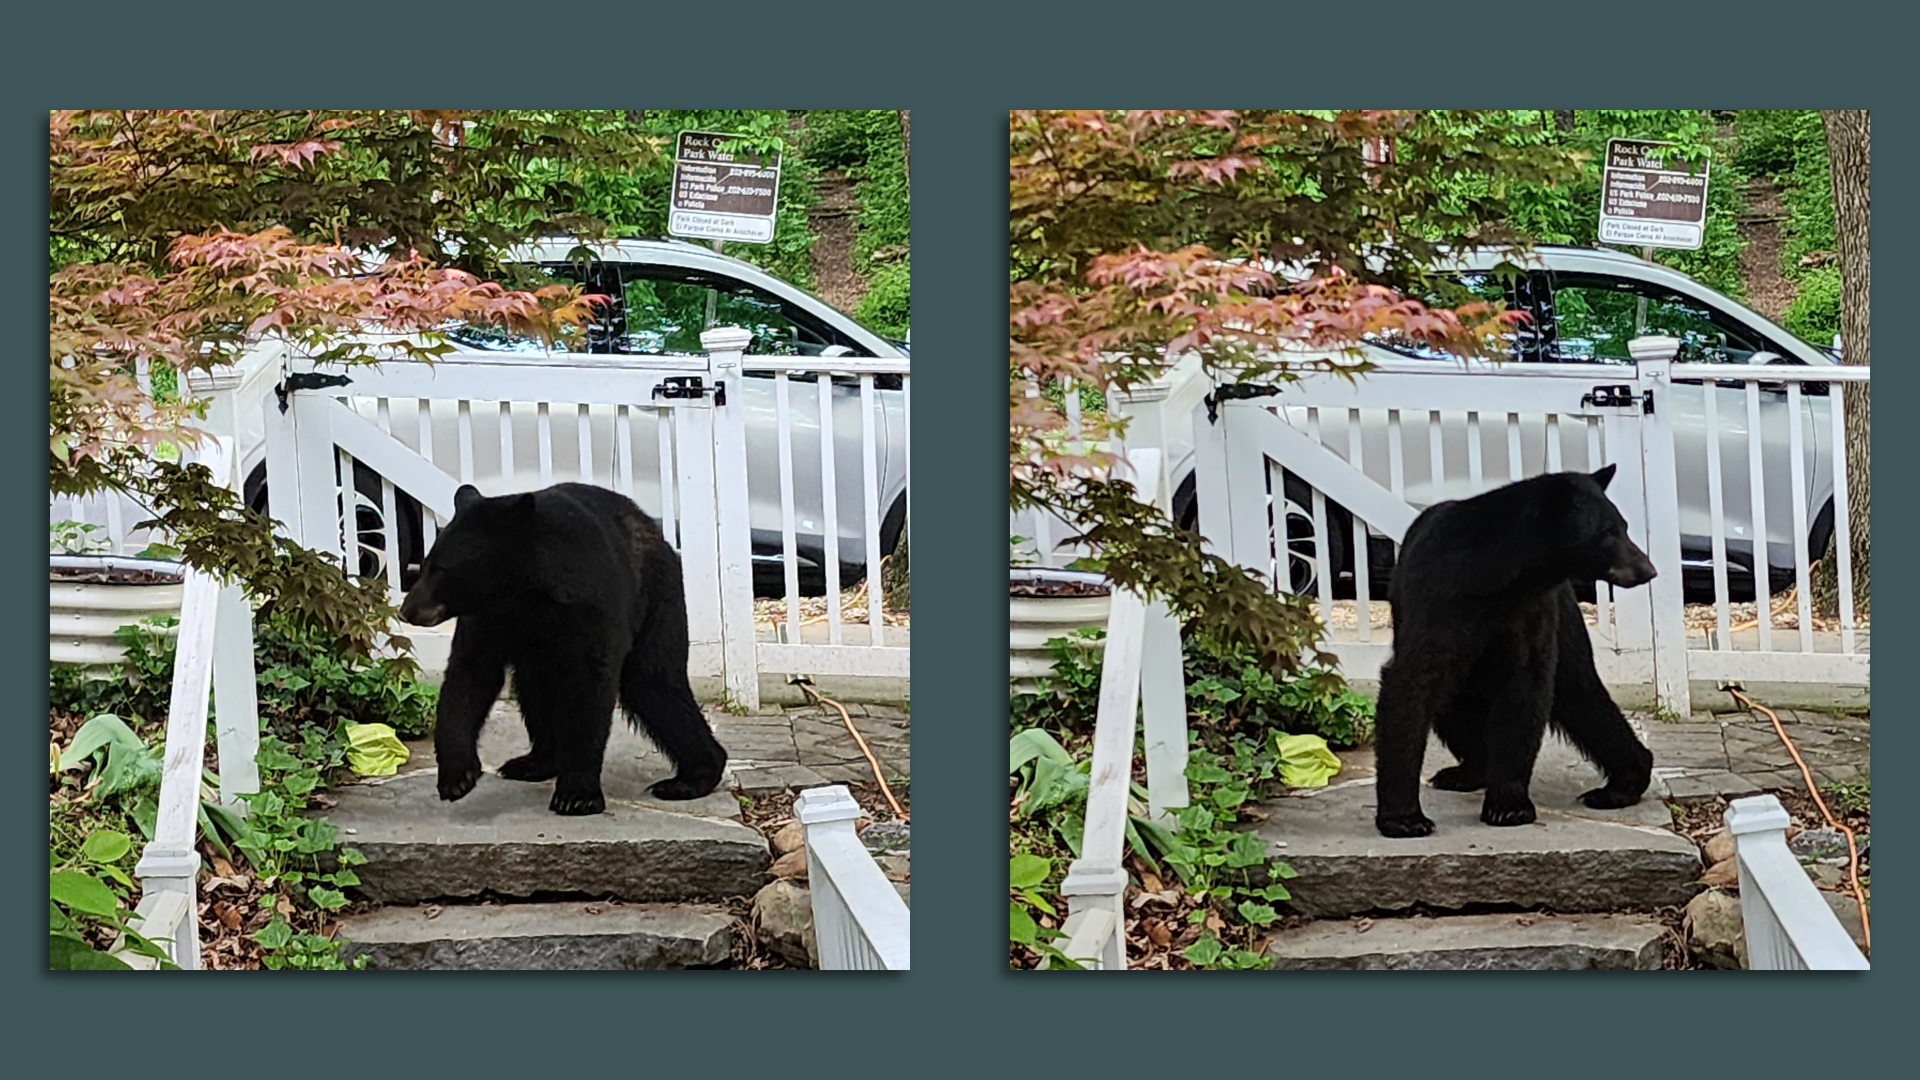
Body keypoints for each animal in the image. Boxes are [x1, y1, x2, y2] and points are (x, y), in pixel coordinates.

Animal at [397, 482, 729, 816]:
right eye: (426, 564)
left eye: (441, 568)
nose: (407, 610)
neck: (524, 592)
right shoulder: (489, 619)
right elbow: (470, 675)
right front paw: (457, 777)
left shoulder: (590, 604)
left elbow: (589, 686)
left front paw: (576, 795)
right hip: (538, 653)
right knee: (535, 689)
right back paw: (534, 762)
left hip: (656, 598)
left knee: (653, 682)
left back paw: (693, 777)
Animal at [1372, 465, 1658, 839]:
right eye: (1609, 532)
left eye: (1623, 526)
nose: (1648, 570)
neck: (1500, 580)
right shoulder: (1438, 602)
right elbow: (1413, 683)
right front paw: (1405, 819)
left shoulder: (1532, 612)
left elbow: (1525, 691)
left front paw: (1508, 806)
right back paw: (1464, 772)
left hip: (1565, 623)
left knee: (1581, 695)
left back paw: (1620, 785)